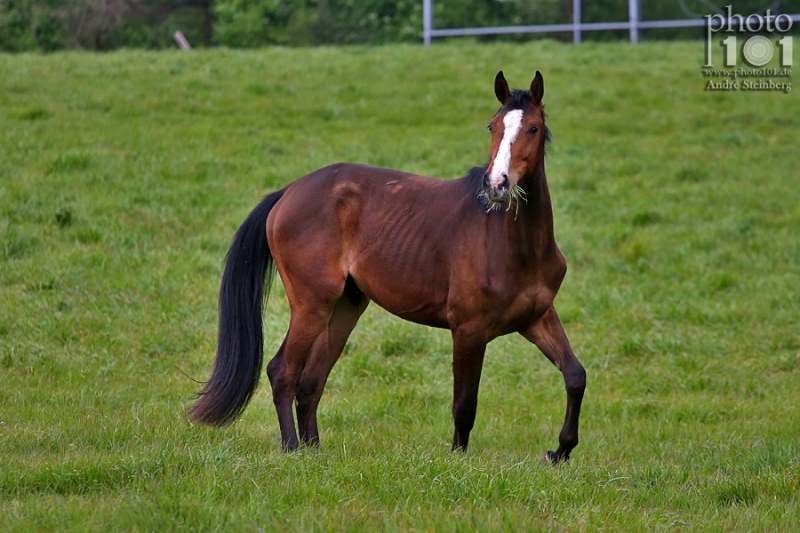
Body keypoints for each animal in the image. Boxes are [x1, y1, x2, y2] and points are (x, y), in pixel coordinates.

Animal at [188, 70, 588, 462]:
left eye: (532, 128)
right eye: (493, 126)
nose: (497, 184)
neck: (514, 245)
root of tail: (288, 192)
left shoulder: (536, 318)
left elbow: (575, 375)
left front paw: (561, 449)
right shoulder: (469, 330)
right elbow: (464, 406)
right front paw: (458, 461)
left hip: (345, 307)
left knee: (311, 382)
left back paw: (315, 451)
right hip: (312, 305)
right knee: (282, 371)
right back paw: (292, 449)